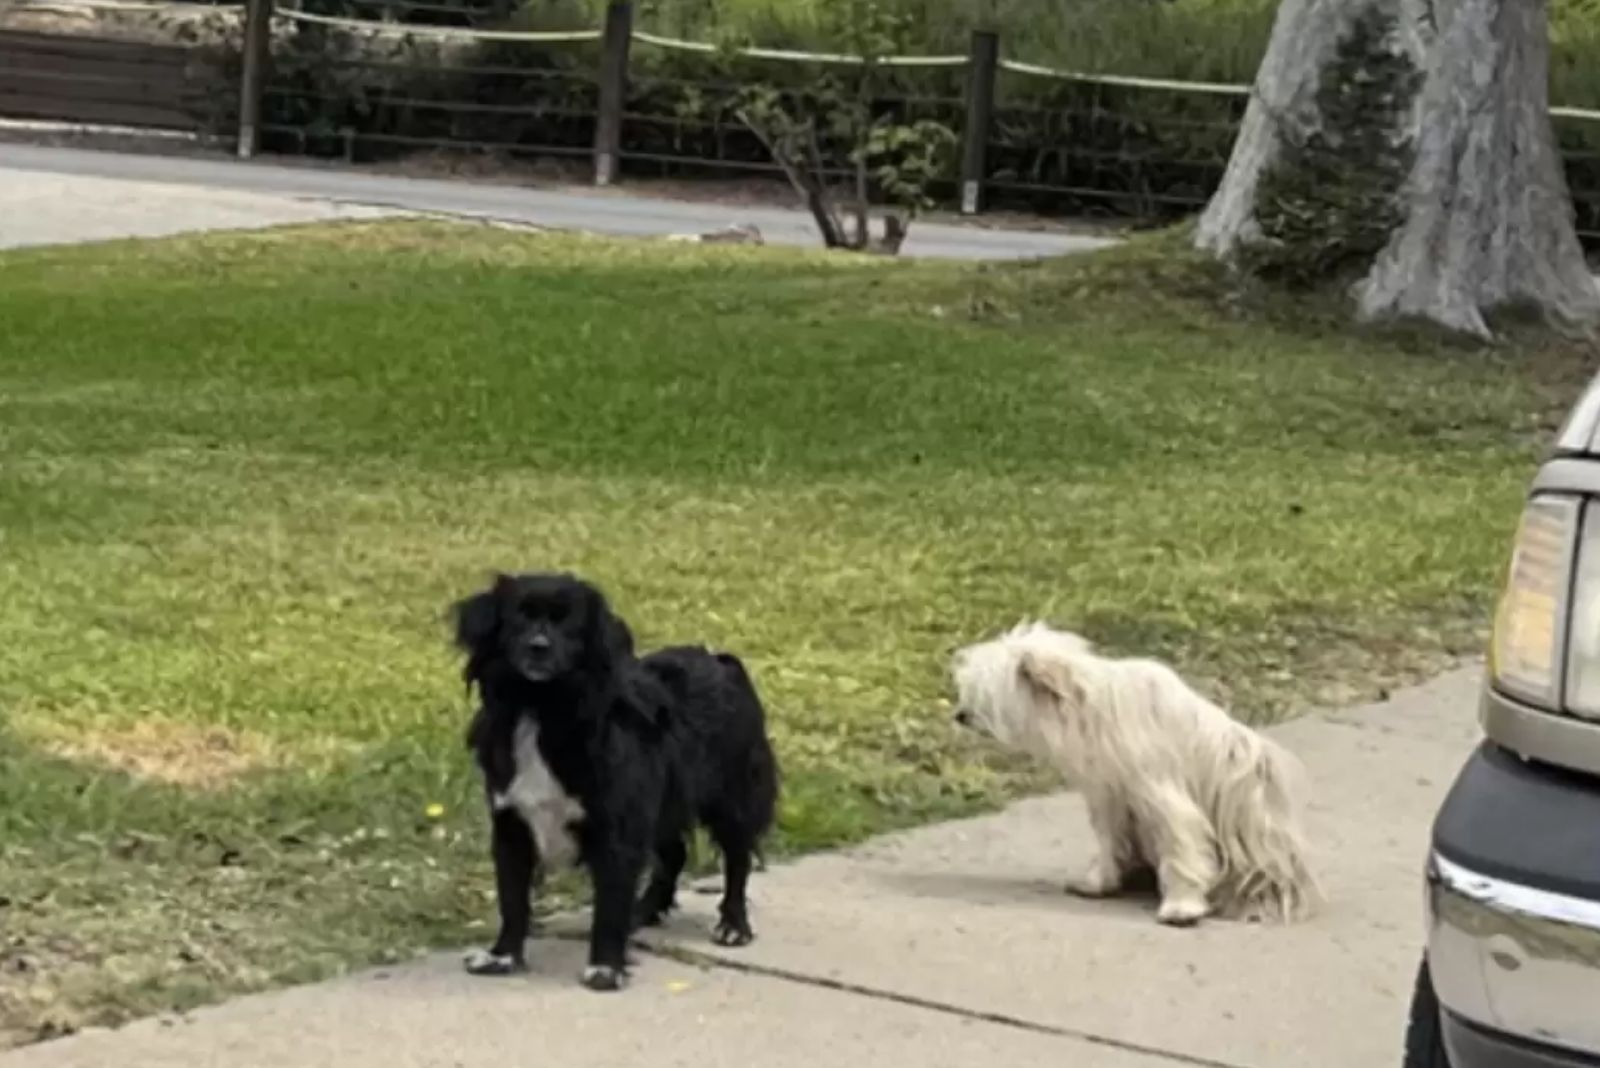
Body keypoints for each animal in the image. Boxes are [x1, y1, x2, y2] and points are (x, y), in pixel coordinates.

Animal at [451, 575, 780, 991]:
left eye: (568, 625)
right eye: (517, 619)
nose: (538, 646)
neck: (540, 707)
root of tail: (721, 661)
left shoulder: (616, 826)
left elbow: (608, 904)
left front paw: (605, 967)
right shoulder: (512, 825)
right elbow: (512, 899)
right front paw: (502, 956)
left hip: (731, 797)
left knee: (737, 858)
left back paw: (733, 924)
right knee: (673, 853)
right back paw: (644, 910)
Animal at [953, 626, 1318, 927]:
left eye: (984, 693)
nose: (959, 715)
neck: (1091, 706)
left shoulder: (1159, 791)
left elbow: (1181, 842)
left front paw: (1181, 906)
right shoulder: (1110, 793)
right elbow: (1109, 838)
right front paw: (1100, 882)